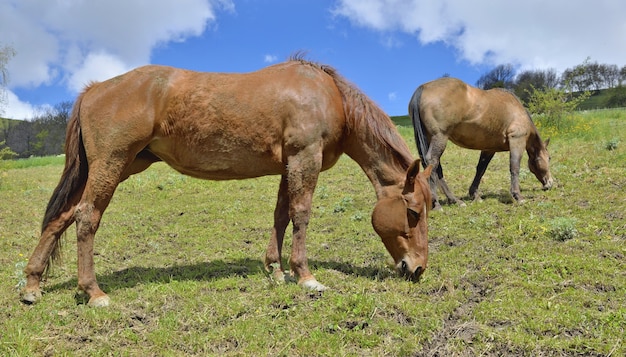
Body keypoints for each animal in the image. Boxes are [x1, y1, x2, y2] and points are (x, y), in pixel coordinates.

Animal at [20, 57, 428, 304]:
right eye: (413, 212)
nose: (417, 268)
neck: (328, 96)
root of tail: (94, 89)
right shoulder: (304, 159)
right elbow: (301, 214)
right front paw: (305, 276)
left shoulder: (288, 165)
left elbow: (281, 216)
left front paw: (275, 270)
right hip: (111, 165)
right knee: (86, 217)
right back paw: (94, 292)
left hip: (117, 167)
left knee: (62, 217)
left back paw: (32, 285)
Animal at [410, 76, 552, 209]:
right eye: (549, 158)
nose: (550, 183)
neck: (517, 111)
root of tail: (423, 88)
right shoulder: (517, 140)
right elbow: (514, 167)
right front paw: (518, 196)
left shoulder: (489, 149)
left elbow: (481, 169)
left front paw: (474, 195)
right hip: (440, 137)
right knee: (432, 162)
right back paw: (436, 203)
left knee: (436, 166)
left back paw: (455, 200)